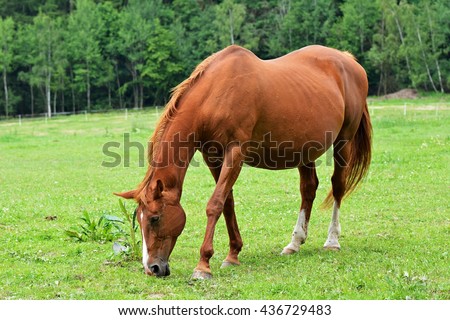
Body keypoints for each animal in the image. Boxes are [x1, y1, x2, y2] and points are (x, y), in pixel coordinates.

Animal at [116, 43, 372, 278]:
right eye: (139, 219)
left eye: (155, 218)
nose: (152, 268)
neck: (215, 95)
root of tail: (348, 61)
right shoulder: (212, 156)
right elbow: (227, 203)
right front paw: (232, 255)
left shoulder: (235, 153)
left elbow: (215, 204)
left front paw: (203, 265)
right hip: (305, 149)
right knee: (308, 189)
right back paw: (294, 243)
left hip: (343, 142)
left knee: (338, 186)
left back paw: (332, 241)